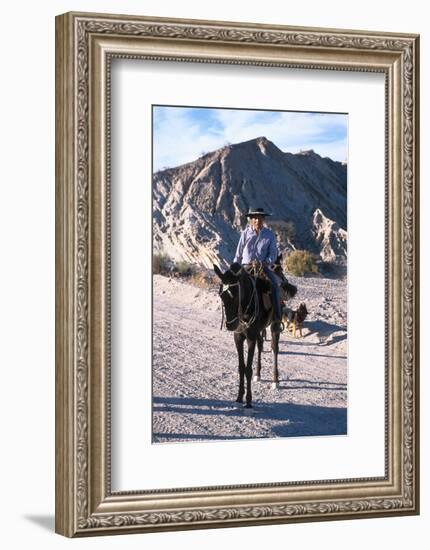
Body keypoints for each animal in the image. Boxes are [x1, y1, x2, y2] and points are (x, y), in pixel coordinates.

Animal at [214, 258, 298, 410]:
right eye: (221, 295)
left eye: (236, 296)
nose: (230, 325)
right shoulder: (238, 337)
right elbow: (241, 367)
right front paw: (239, 397)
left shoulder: (250, 337)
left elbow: (248, 369)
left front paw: (248, 401)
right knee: (260, 346)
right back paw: (258, 375)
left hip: (275, 324)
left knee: (274, 349)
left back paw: (275, 381)